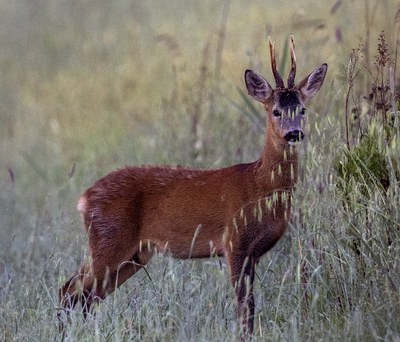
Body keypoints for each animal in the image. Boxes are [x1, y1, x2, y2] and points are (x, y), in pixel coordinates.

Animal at [59, 34, 328, 336]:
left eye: (303, 109)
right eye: (276, 111)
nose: (294, 133)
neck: (258, 187)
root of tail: (84, 198)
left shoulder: (253, 253)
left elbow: (249, 307)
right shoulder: (234, 241)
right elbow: (243, 307)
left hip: (135, 254)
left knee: (87, 296)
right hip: (109, 240)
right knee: (70, 290)